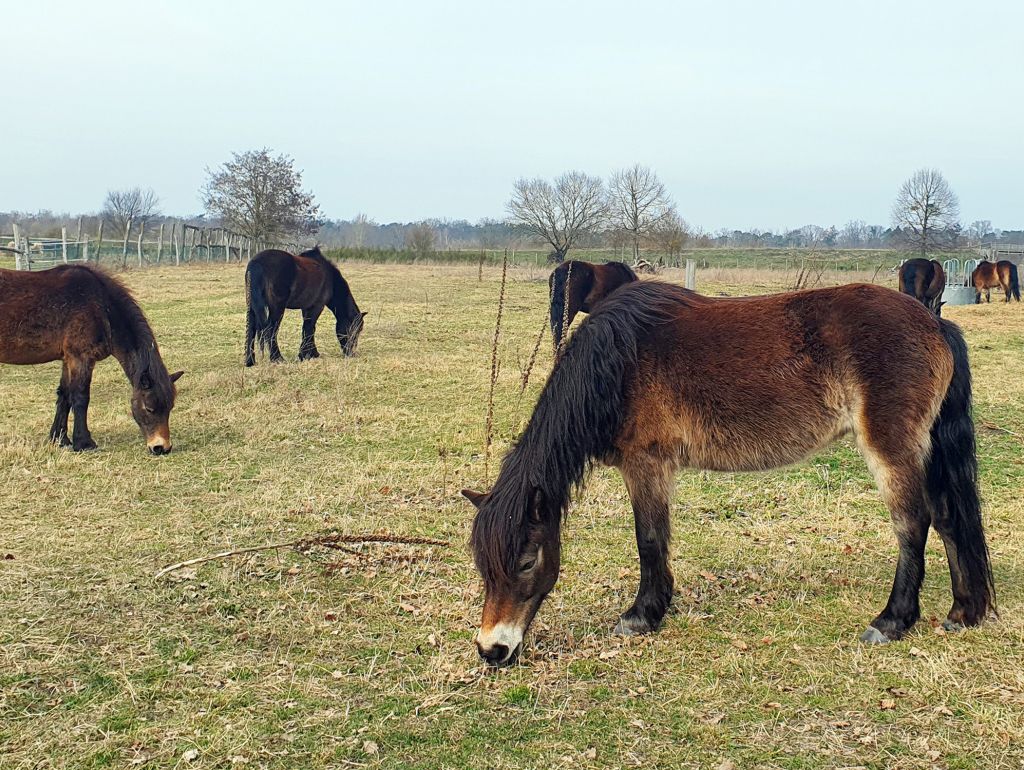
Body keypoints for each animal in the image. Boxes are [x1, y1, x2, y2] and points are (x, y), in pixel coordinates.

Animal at [0, 265, 183, 453]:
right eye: (149, 408)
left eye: (170, 407)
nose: (161, 447)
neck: (102, 307)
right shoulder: (81, 358)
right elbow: (81, 397)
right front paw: (84, 443)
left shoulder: (68, 359)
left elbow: (64, 396)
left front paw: (60, 439)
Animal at [463, 281, 995, 666]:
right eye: (483, 566)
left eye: (527, 561)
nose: (493, 650)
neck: (619, 361)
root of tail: (934, 322)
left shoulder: (646, 464)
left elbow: (648, 538)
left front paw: (641, 615)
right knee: (949, 518)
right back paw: (963, 611)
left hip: (891, 450)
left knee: (914, 525)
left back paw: (892, 621)